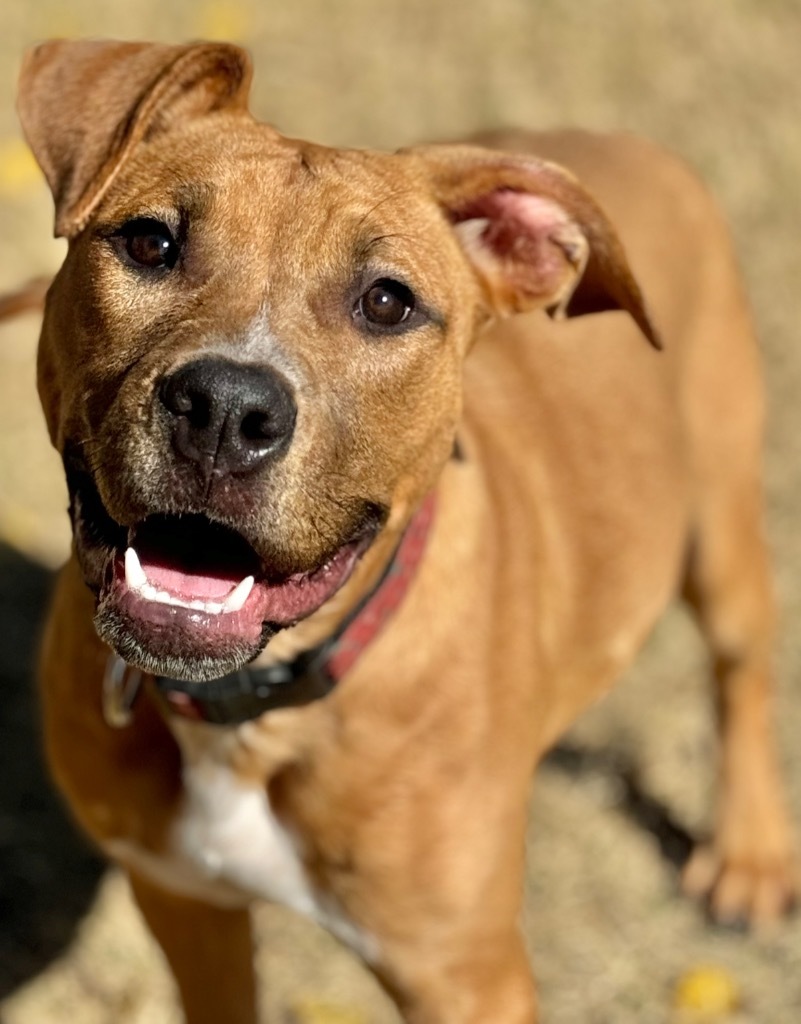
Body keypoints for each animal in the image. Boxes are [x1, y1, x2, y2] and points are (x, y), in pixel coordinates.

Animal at [9, 37, 798, 1024]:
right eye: (150, 242)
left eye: (387, 303)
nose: (226, 408)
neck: (253, 709)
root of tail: (621, 140)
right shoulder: (185, 904)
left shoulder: (462, 977)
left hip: (722, 521)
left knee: (740, 672)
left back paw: (748, 857)